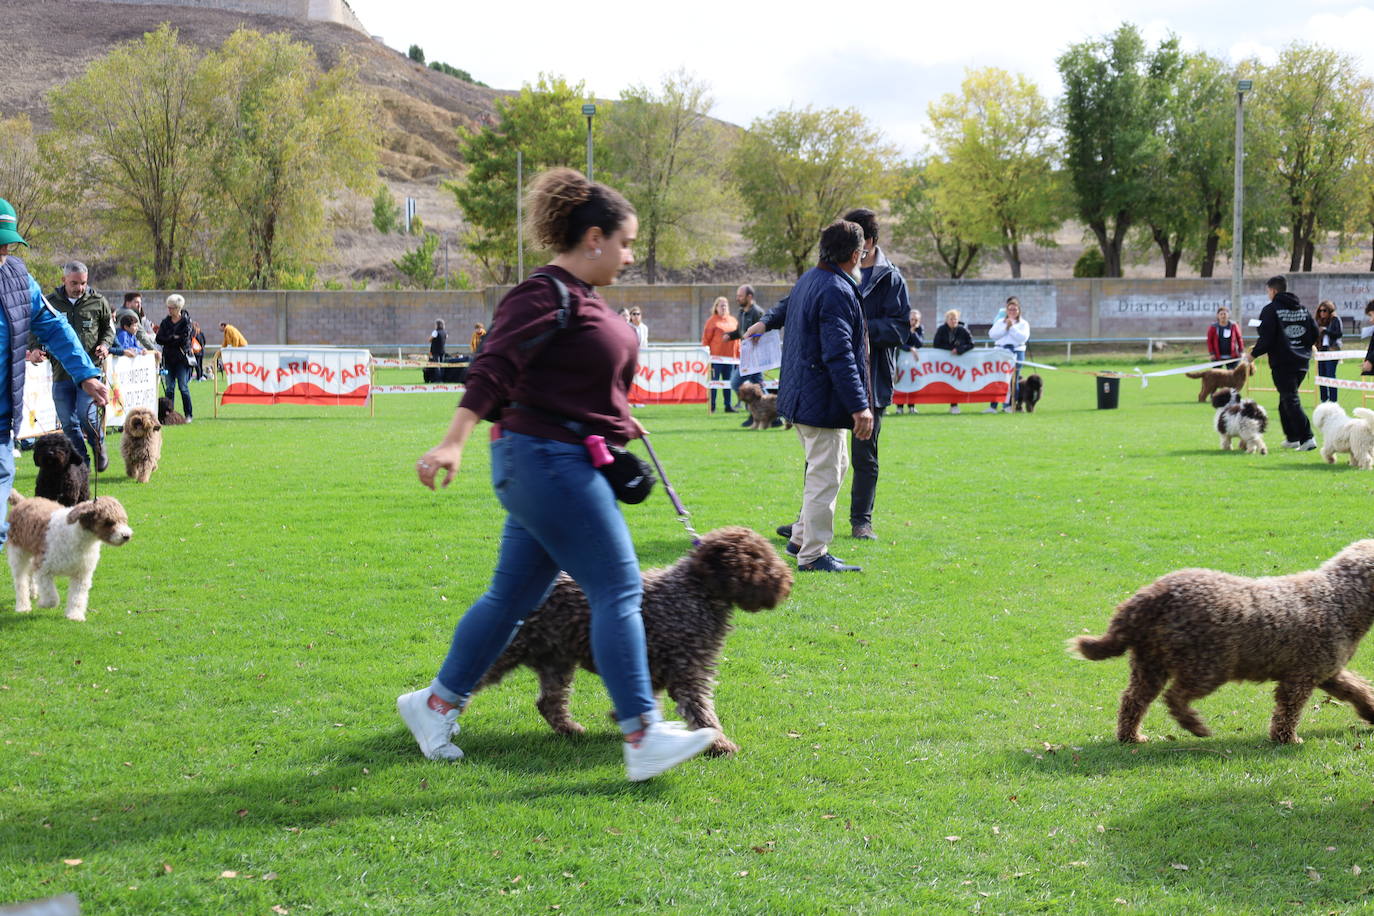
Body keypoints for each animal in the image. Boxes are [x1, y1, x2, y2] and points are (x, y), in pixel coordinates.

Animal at [475, 527, 791, 758]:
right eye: (757, 559)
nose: (787, 581)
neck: (695, 592)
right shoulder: (688, 674)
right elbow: (702, 713)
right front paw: (718, 744)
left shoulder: (656, 671)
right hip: (512, 649)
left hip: (557, 661)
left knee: (548, 702)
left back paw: (570, 729)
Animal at [1071, 538, 1374, 747]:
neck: (1339, 598)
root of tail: (1154, 594)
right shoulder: (1299, 678)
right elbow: (1287, 713)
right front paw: (1287, 739)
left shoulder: (1328, 673)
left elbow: (1358, 691)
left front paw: (1371, 711)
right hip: (1208, 666)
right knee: (1174, 697)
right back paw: (1196, 727)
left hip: (1151, 665)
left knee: (1133, 700)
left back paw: (1131, 736)